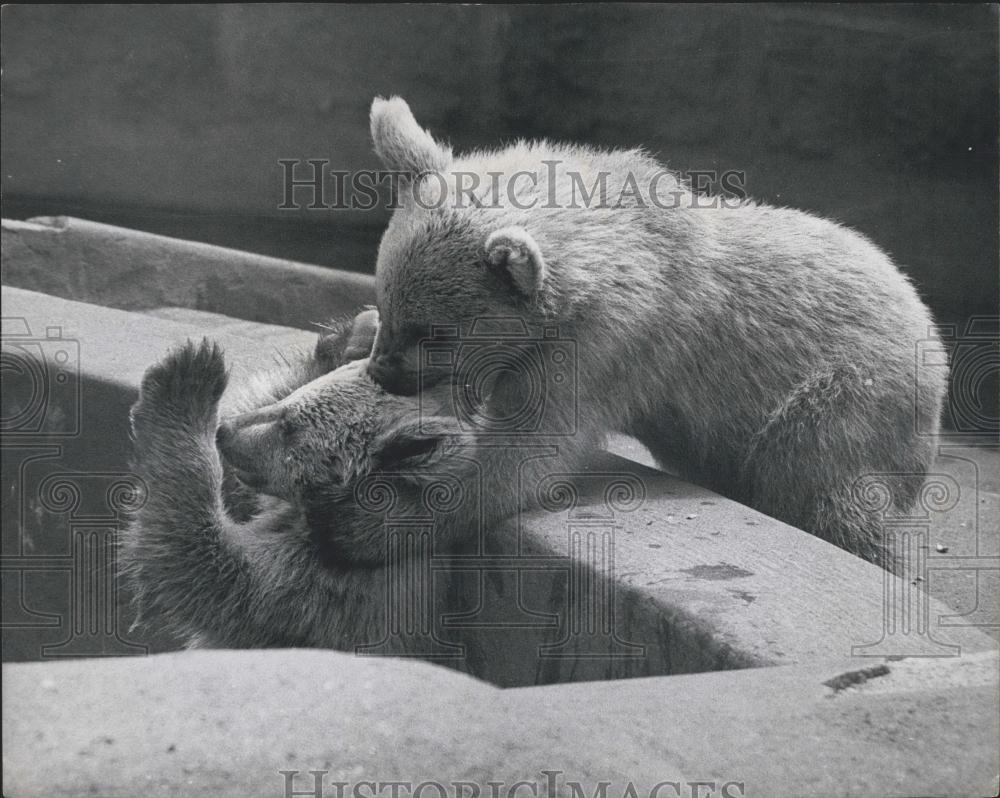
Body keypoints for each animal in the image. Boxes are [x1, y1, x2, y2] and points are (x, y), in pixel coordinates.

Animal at [121, 315, 479, 650]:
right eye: (286, 406)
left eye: (289, 428)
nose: (225, 433)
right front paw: (352, 338)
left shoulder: (346, 589)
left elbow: (206, 570)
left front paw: (188, 377)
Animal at [363, 96, 947, 565]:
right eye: (388, 305)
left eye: (432, 332)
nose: (380, 371)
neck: (626, 244)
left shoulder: (605, 345)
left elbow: (529, 450)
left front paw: (381, 526)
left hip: (849, 399)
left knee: (816, 480)